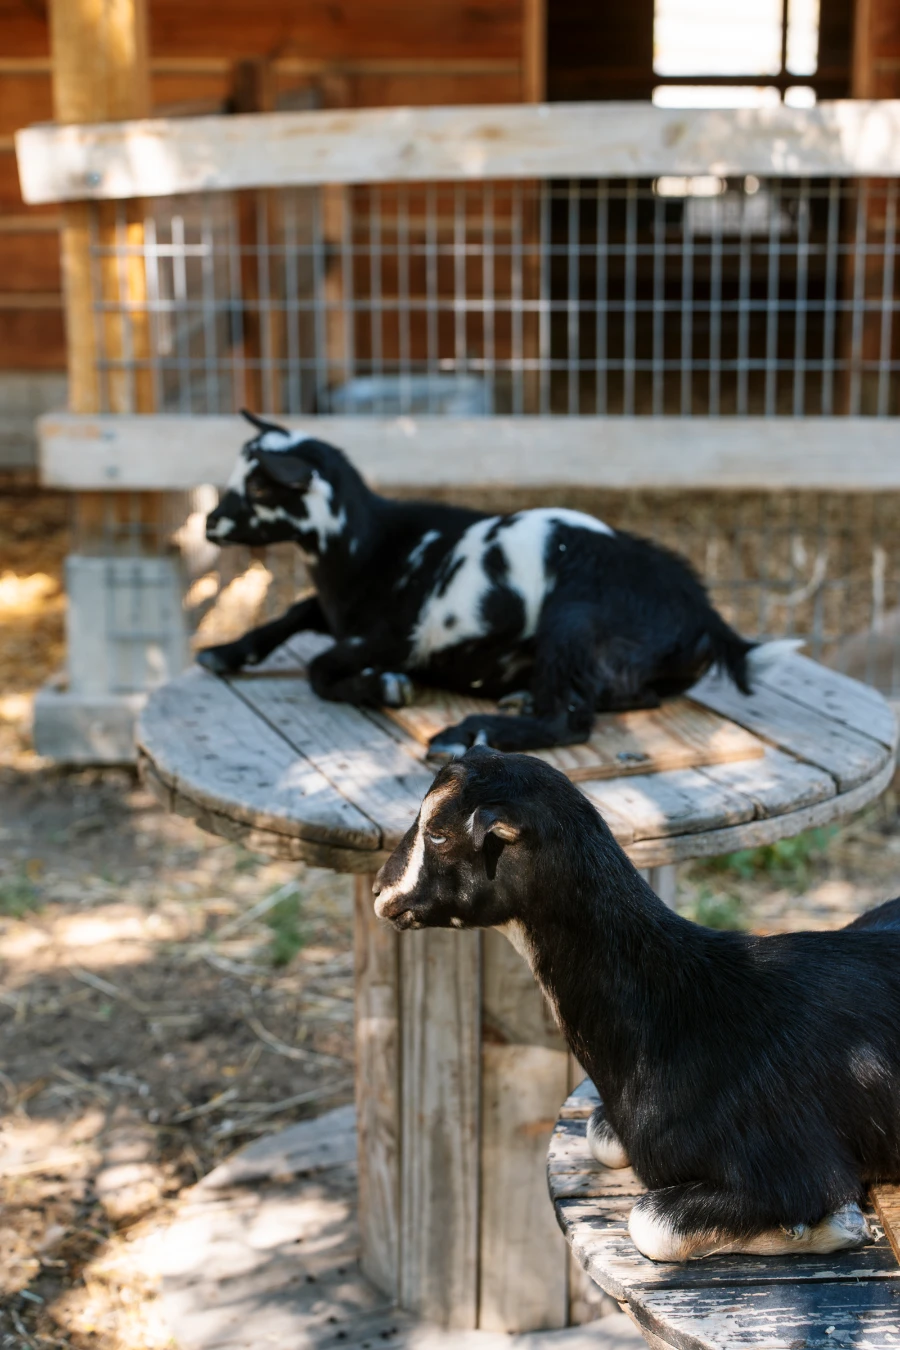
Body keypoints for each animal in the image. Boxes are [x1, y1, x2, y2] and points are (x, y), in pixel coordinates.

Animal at [200, 411, 793, 757]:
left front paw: (383, 687)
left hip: (573, 617)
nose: (209, 523)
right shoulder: (342, 613)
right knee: (627, 697)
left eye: (260, 487)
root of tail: (706, 619)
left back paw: (469, 734)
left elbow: (320, 670)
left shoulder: (394, 635)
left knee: (570, 722)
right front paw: (224, 652)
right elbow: (295, 612)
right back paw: (521, 697)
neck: (366, 551)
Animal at [373, 746, 900, 1262]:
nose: (380, 892)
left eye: (439, 834)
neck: (675, 1010)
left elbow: (650, 1223)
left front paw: (839, 1226)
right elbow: (601, 1136)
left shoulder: (794, 1161)